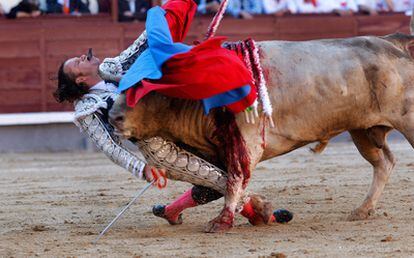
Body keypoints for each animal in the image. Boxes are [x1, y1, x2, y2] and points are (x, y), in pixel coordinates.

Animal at [109, 21, 414, 233]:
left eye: (147, 87)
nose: (113, 116)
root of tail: (392, 42)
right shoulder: (215, 151)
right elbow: (209, 186)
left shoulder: (247, 143)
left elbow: (233, 181)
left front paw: (221, 222)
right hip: (362, 131)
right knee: (384, 162)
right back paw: (363, 210)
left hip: (406, 122)